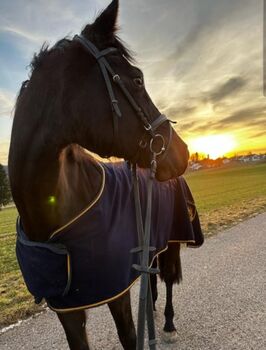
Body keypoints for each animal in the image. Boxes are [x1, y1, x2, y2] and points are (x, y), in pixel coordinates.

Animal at [8, 0, 200, 350]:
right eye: (137, 80)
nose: (182, 152)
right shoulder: (68, 309)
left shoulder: (116, 294)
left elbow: (130, 336)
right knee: (152, 276)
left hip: (172, 242)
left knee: (166, 279)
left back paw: (167, 323)